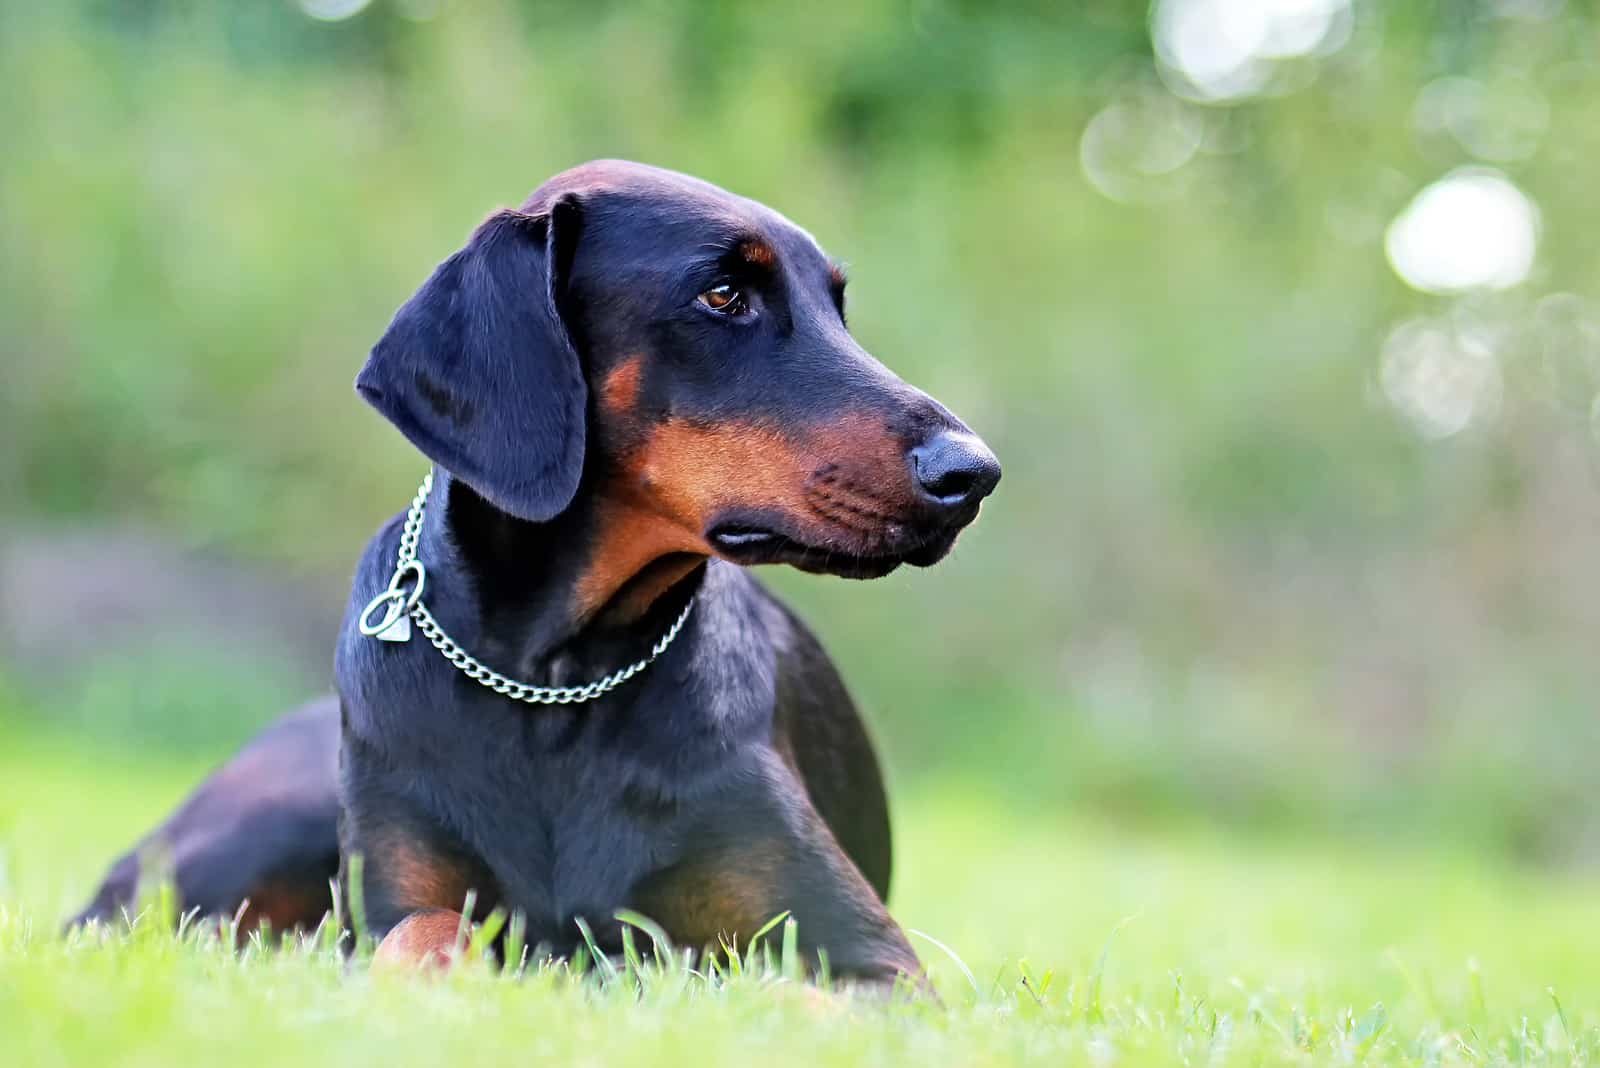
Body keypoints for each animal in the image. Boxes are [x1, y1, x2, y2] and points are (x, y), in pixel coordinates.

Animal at [78, 163, 998, 991]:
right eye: (723, 294)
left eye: (837, 308)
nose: (973, 474)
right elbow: (422, 937)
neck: (555, 677)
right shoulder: (388, 908)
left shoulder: (867, 958)